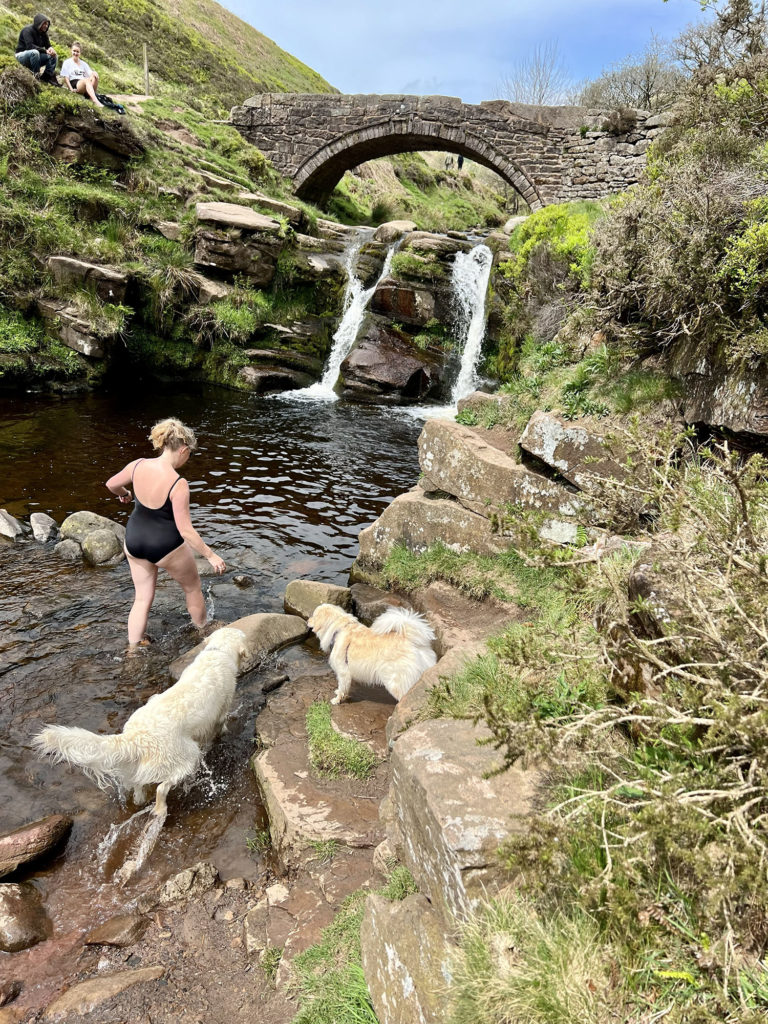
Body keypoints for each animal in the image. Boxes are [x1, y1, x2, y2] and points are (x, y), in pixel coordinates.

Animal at [33, 622, 246, 815]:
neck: (219, 651)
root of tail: (136, 738)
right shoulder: (222, 710)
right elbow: (220, 725)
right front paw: (222, 733)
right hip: (187, 756)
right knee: (162, 788)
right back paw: (160, 809)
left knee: (138, 785)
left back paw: (140, 799)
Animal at [309, 598, 438, 704]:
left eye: (313, 615)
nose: (308, 620)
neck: (338, 629)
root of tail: (413, 642)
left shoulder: (343, 671)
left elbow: (342, 688)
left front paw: (337, 700)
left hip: (395, 682)